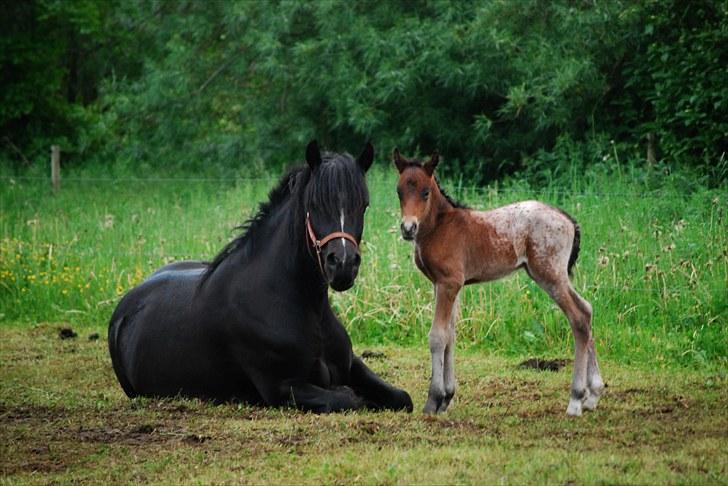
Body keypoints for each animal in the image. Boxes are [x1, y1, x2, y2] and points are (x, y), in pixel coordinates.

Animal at [109, 142, 416, 412]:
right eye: (314, 204)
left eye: (363, 204)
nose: (342, 265)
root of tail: (125, 308)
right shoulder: (280, 387)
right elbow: (348, 398)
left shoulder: (351, 365)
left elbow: (402, 397)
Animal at [392, 150, 604, 416]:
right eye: (399, 191)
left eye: (425, 192)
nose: (408, 228)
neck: (441, 226)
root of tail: (567, 219)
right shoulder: (447, 285)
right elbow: (451, 335)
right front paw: (447, 398)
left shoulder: (448, 283)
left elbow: (438, 336)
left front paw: (433, 400)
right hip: (555, 276)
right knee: (587, 309)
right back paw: (593, 394)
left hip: (550, 275)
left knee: (578, 318)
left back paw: (576, 400)